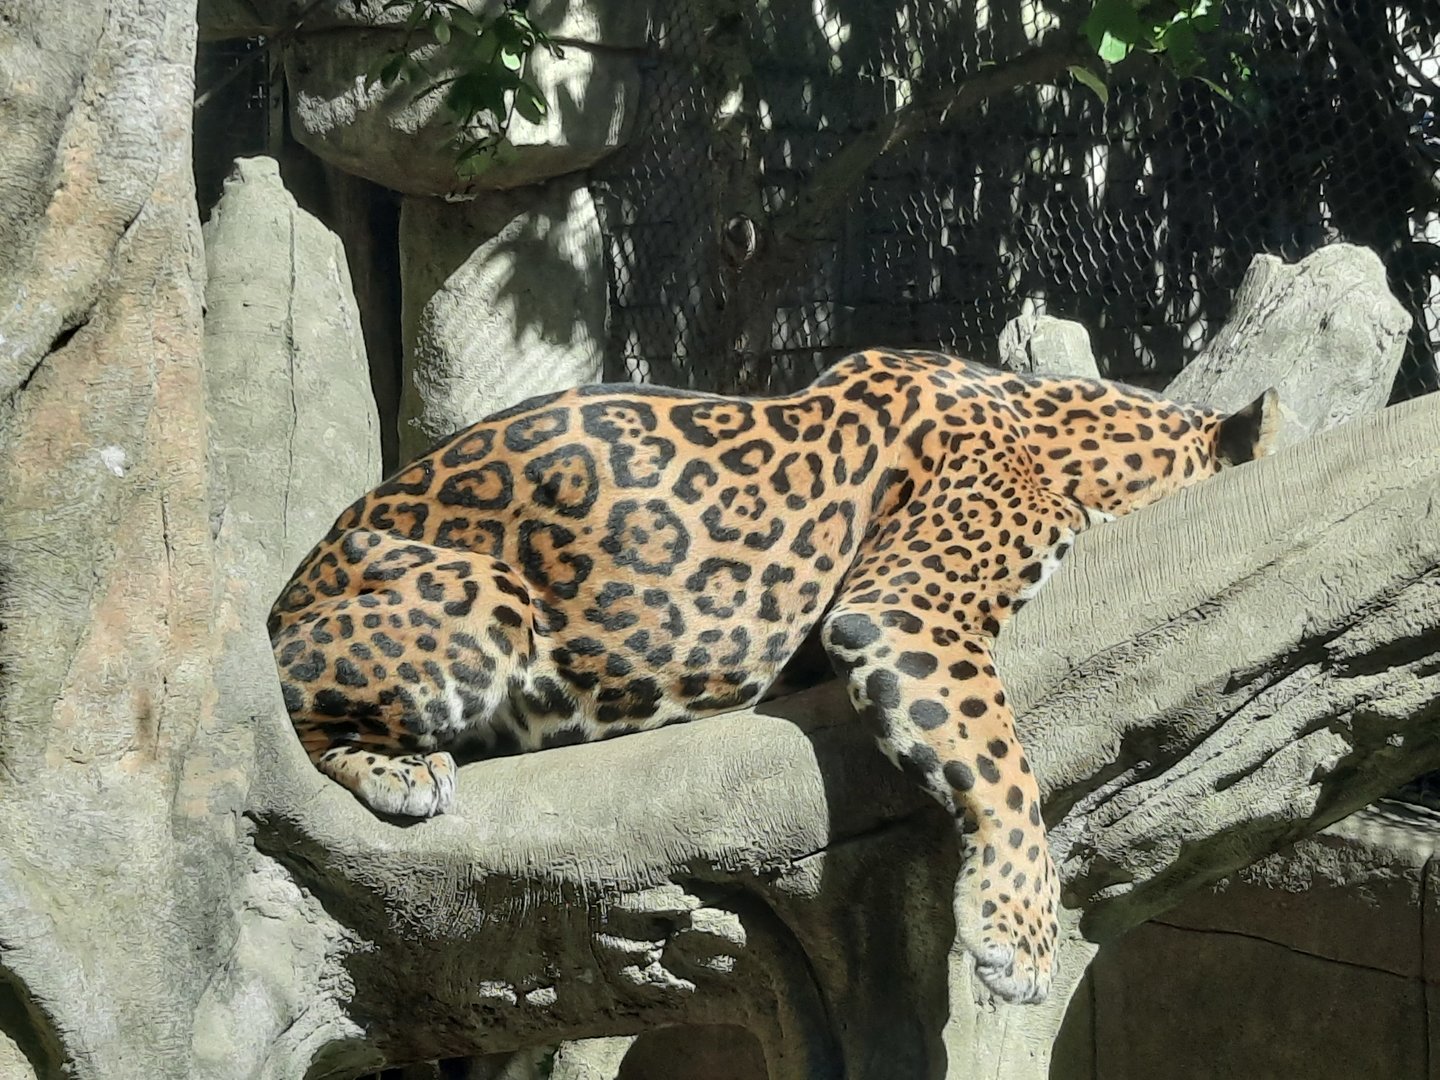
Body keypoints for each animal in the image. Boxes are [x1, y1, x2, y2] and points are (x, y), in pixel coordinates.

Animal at [268, 347, 1280, 1005]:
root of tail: (287, 591)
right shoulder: (903, 607)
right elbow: (1001, 762)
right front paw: (1019, 934)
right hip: (482, 598)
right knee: (291, 696)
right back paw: (399, 769)